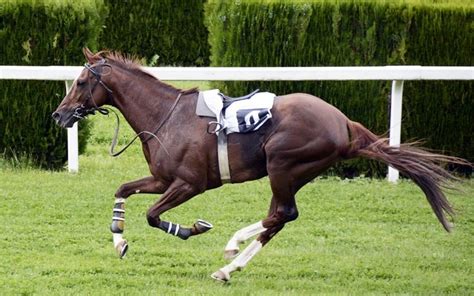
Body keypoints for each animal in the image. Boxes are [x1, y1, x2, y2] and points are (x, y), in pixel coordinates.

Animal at [53, 48, 468, 282]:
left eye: (80, 82)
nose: (59, 115)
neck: (165, 116)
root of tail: (343, 123)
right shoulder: (161, 178)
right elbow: (122, 190)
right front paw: (119, 241)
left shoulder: (190, 183)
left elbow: (154, 216)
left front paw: (192, 228)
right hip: (291, 173)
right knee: (278, 218)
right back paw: (228, 266)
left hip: (283, 165)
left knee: (282, 214)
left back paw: (231, 248)